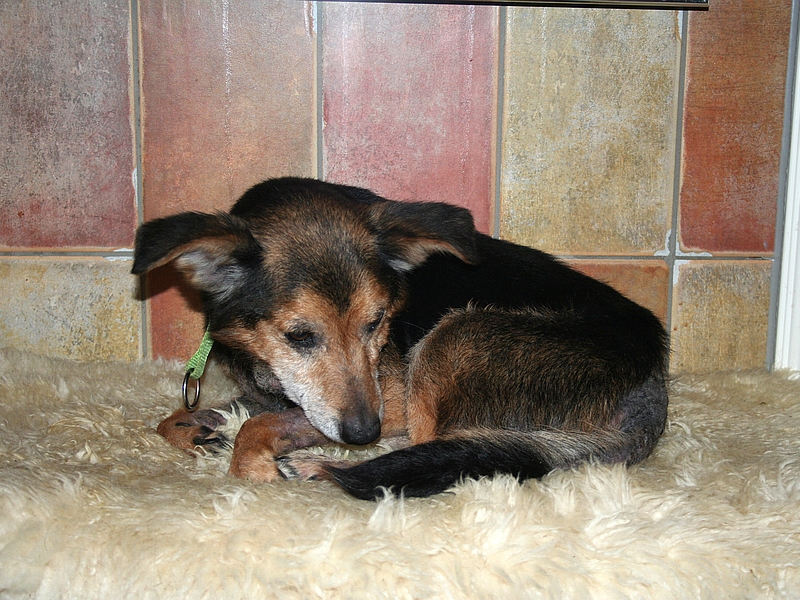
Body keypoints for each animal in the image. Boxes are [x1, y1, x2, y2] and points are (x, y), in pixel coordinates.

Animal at [132, 177, 669, 500]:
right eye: (299, 336)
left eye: (378, 322)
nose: (363, 433)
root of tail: (654, 385)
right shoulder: (282, 396)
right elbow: (172, 421)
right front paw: (204, 433)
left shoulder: (387, 395)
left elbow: (254, 431)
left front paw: (258, 460)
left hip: (454, 338)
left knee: (432, 447)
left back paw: (321, 465)